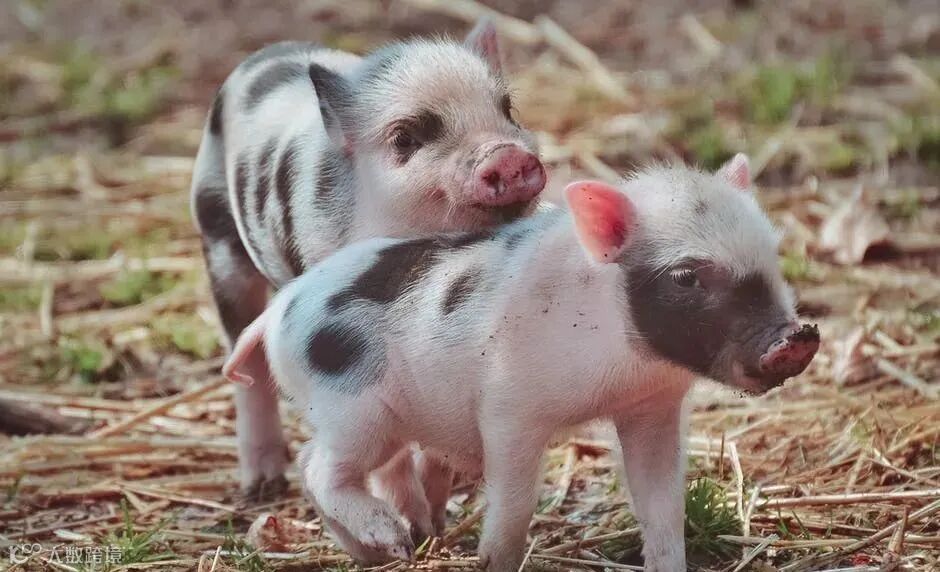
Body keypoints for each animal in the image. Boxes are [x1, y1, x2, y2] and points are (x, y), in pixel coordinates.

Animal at [189, 19, 546, 497]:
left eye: (508, 109)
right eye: (405, 138)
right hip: (217, 234)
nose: (505, 154)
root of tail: (260, 54)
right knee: (246, 363)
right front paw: (409, 510)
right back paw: (262, 486)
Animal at [222, 155, 820, 570]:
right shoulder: (509, 409)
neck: (623, 363)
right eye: (687, 277)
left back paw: (383, 553)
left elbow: (661, 502)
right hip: (352, 409)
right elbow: (513, 504)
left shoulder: (652, 409)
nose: (797, 336)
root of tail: (276, 312)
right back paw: (391, 539)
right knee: (318, 469)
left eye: (772, 253)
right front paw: (492, 560)